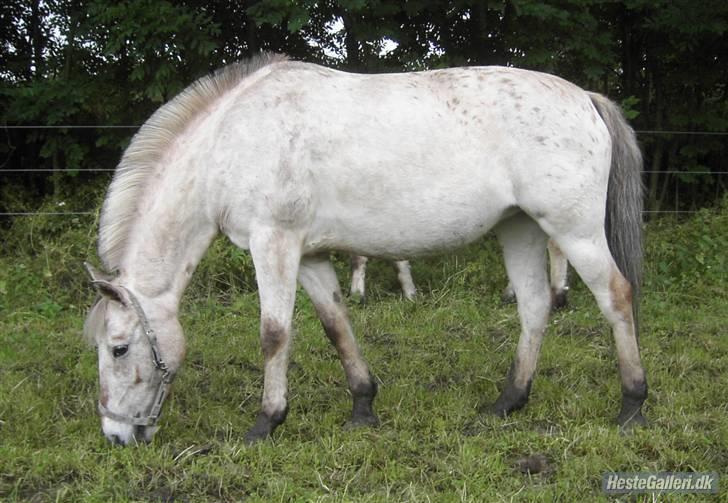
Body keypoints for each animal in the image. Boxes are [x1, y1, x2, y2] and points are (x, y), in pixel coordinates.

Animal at [82, 54, 644, 448]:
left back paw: (632, 405)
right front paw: (362, 407)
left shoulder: (273, 243)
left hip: (574, 230)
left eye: (119, 348)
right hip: (521, 228)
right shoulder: (308, 255)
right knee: (534, 308)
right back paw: (508, 402)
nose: (117, 435)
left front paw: (266, 423)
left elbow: (274, 334)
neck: (230, 141)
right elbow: (336, 326)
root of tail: (586, 97)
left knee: (616, 297)